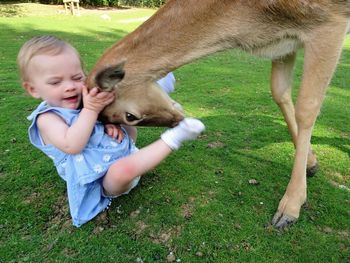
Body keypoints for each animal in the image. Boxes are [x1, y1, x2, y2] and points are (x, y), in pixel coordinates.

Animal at [85, 0, 350, 229]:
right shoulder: (284, 43)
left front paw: (289, 208)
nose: (177, 121)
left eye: (129, 116)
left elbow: (307, 108)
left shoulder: (330, 21)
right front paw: (312, 165)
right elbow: (279, 91)